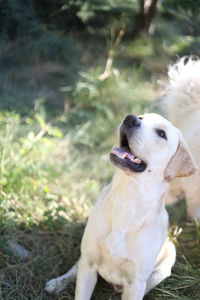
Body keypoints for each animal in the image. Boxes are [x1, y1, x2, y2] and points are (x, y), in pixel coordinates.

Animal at [45, 113, 195, 300]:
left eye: (162, 133)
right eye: (141, 117)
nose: (130, 119)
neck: (128, 198)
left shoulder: (135, 283)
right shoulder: (89, 264)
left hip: (167, 258)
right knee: (75, 267)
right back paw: (57, 283)